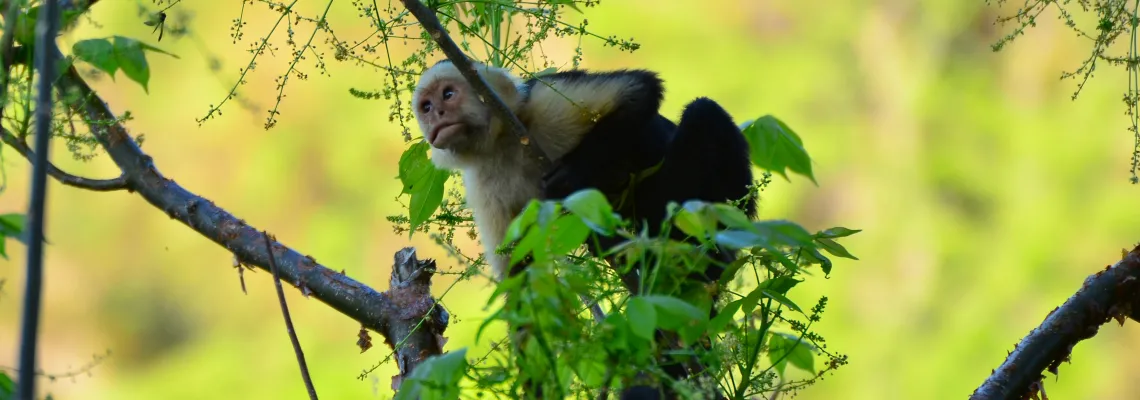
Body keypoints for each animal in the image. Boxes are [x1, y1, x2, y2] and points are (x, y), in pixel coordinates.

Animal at [412, 60, 756, 400]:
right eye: (426, 107)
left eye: (448, 94)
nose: (436, 115)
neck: (500, 144)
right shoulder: (483, 186)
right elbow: (522, 282)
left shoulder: (540, 105)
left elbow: (639, 90)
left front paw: (572, 175)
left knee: (703, 113)